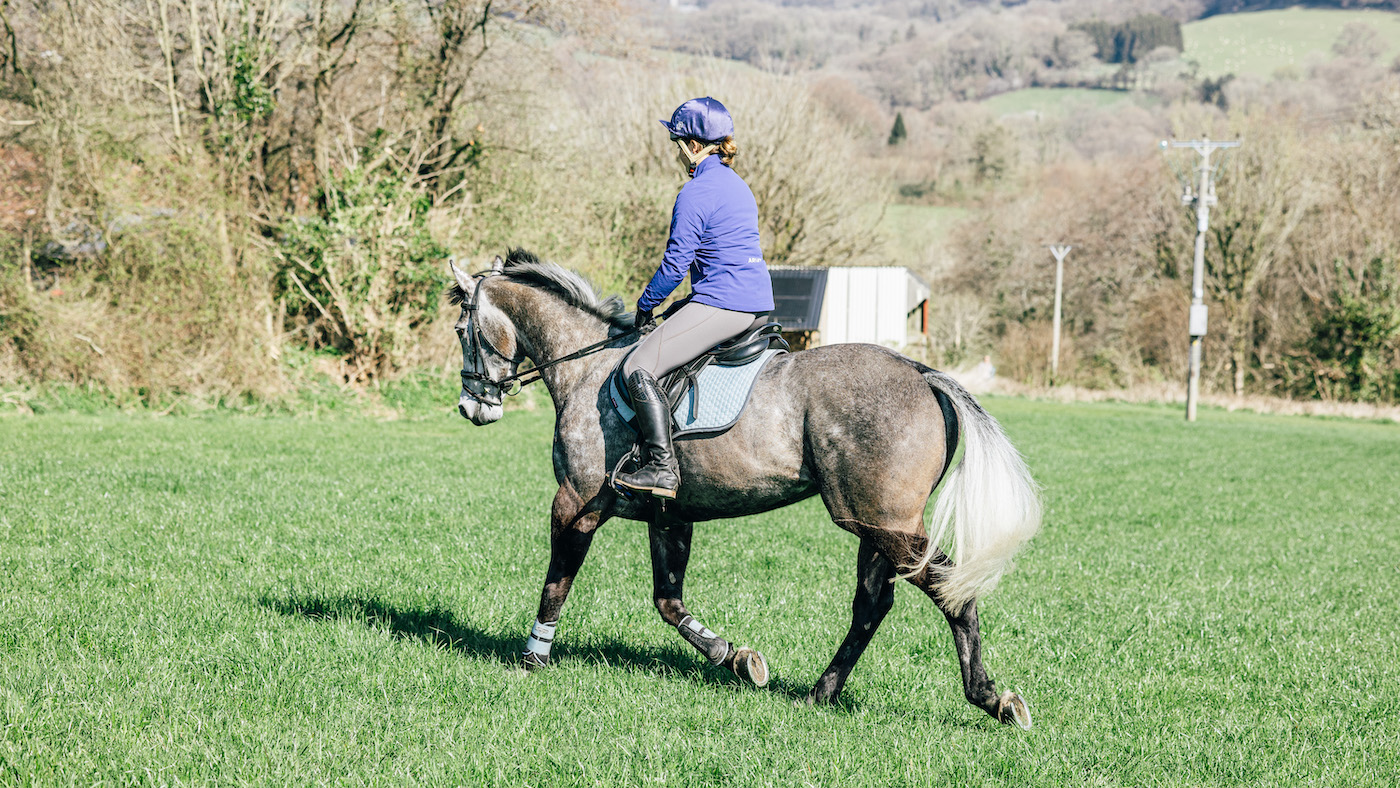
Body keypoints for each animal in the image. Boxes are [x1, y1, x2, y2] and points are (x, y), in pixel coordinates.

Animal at [449, 249, 1041, 728]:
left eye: (461, 331)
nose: (472, 408)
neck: (588, 368)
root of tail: (922, 373)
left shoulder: (575, 503)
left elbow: (557, 581)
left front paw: (533, 658)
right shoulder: (669, 515)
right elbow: (668, 601)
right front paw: (734, 658)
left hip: (885, 524)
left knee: (949, 590)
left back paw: (992, 699)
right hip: (876, 522)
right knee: (873, 603)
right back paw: (821, 693)